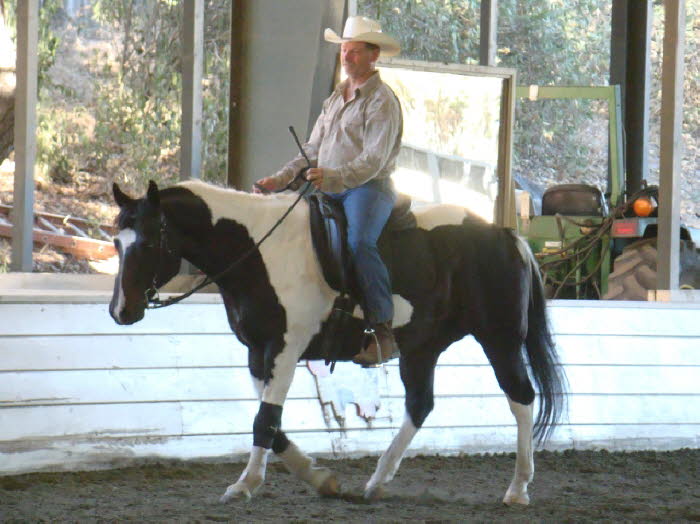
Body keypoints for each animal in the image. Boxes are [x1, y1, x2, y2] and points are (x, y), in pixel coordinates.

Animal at [110, 179, 568, 504]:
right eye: (117, 241)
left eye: (148, 241)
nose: (120, 311)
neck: (257, 252)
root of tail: (506, 235)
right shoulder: (259, 353)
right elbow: (272, 424)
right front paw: (321, 478)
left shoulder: (286, 348)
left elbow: (264, 420)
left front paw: (245, 485)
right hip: (421, 348)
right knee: (420, 404)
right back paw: (376, 482)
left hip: (500, 340)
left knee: (521, 398)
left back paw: (517, 489)